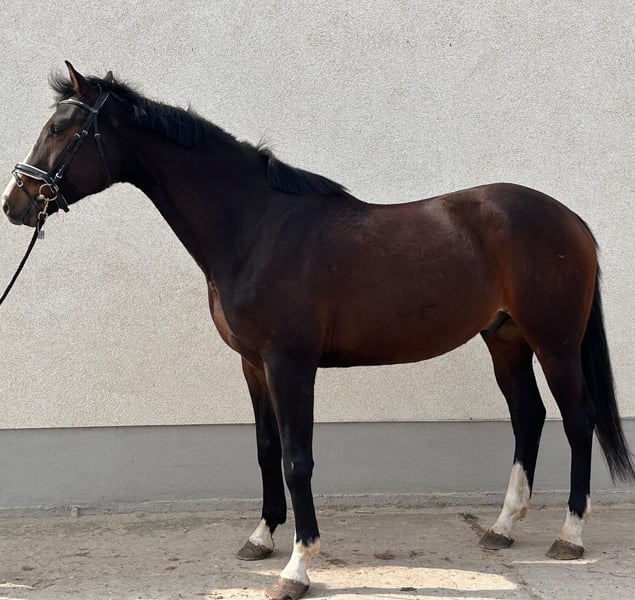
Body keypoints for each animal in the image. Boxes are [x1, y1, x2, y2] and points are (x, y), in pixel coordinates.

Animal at [2, 62, 634, 600]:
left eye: (61, 128)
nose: (16, 203)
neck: (256, 228)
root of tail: (571, 220)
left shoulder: (291, 363)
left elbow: (296, 458)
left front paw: (297, 568)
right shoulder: (253, 364)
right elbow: (265, 450)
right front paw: (260, 539)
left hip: (555, 342)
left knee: (578, 420)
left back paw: (570, 536)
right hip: (505, 339)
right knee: (528, 416)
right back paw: (502, 527)